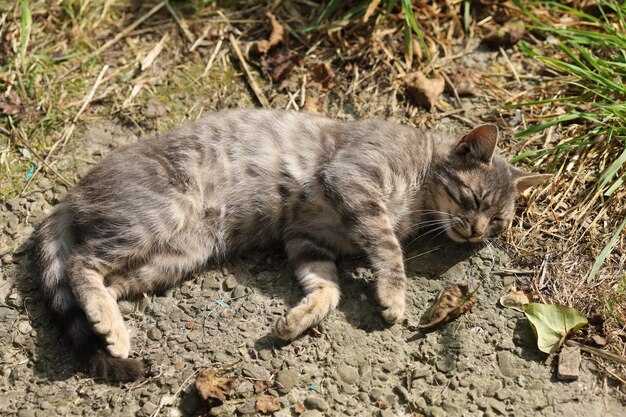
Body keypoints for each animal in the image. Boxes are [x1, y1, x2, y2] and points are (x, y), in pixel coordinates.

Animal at [34, 109, 544, 380]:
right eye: (474, 199)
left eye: (498, 223)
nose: (476, 231)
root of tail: (73, 193)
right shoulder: (354, 180)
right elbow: (387, 250)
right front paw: (393, 297)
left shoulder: (309, 241)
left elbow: (329, 290)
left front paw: (297, 320)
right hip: (159, 215)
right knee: (81, 262)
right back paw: (110, 327)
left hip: (176, 256)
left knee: (108, 281)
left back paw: (110, 325)